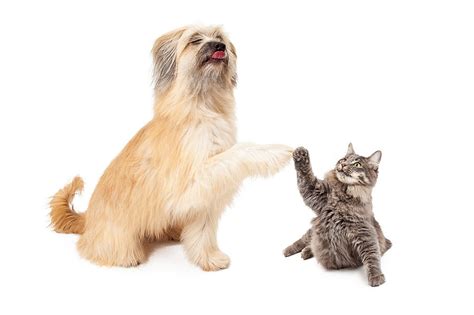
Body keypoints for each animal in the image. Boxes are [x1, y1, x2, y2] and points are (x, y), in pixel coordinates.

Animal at [49, 25, 292, 272]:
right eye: (195, 40)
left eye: (219, 37)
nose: (219, 46)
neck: (204, 106)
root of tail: (87, 219)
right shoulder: (194, 180)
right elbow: (239, 152)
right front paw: (276, 151)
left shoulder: (206, 196)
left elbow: (203, 230)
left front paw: (209, 258)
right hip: (117, 231)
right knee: (97, 246)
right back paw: (124, 256)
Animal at [284, 144, 390, 288]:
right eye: (343, 159)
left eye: (357, 164)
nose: (343, 164)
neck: (343, 195)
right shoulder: (314, 192)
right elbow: (306, 176)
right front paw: (300, 154)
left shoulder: (364, 232)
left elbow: (372, 256)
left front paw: (375, 276)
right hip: (312, 232)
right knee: (302, 241)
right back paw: (289, 250)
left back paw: (306, 252)